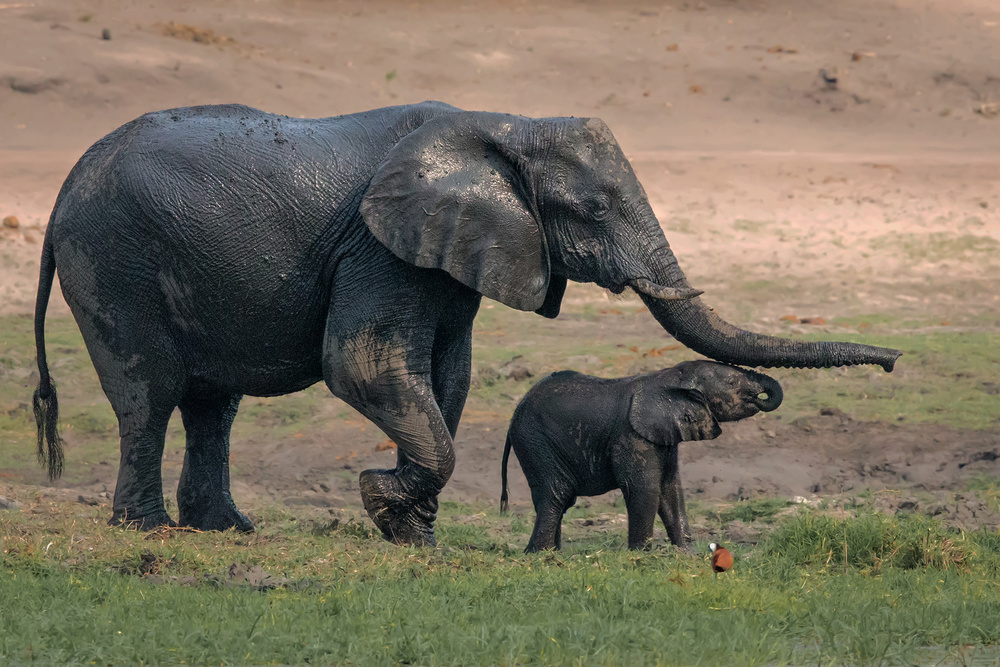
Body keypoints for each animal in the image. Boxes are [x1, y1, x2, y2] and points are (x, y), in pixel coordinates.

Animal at [500, 360, 780, 552]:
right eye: (732, 384)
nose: (761, 396)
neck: (668, 377)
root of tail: (514, 413)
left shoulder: (662, 435)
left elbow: (670, 489)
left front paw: (688, 553)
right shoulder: (632, 435)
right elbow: (644, 489)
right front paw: (642, 555)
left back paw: (553, 553)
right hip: (535, 441)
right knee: (556, 495)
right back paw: (540, 555)